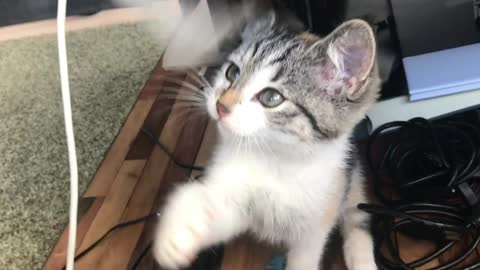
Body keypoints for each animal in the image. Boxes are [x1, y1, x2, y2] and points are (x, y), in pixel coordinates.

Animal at [153, 10, 378, 270]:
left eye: (271, 97)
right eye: (232, 72)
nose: (221, 106)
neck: (275, 157)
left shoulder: (319, 216)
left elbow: (304, 257)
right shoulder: (236, 197)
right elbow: (213, 208)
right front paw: (179, 230)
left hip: (353, 178)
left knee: (357, 216)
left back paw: (362, 259)